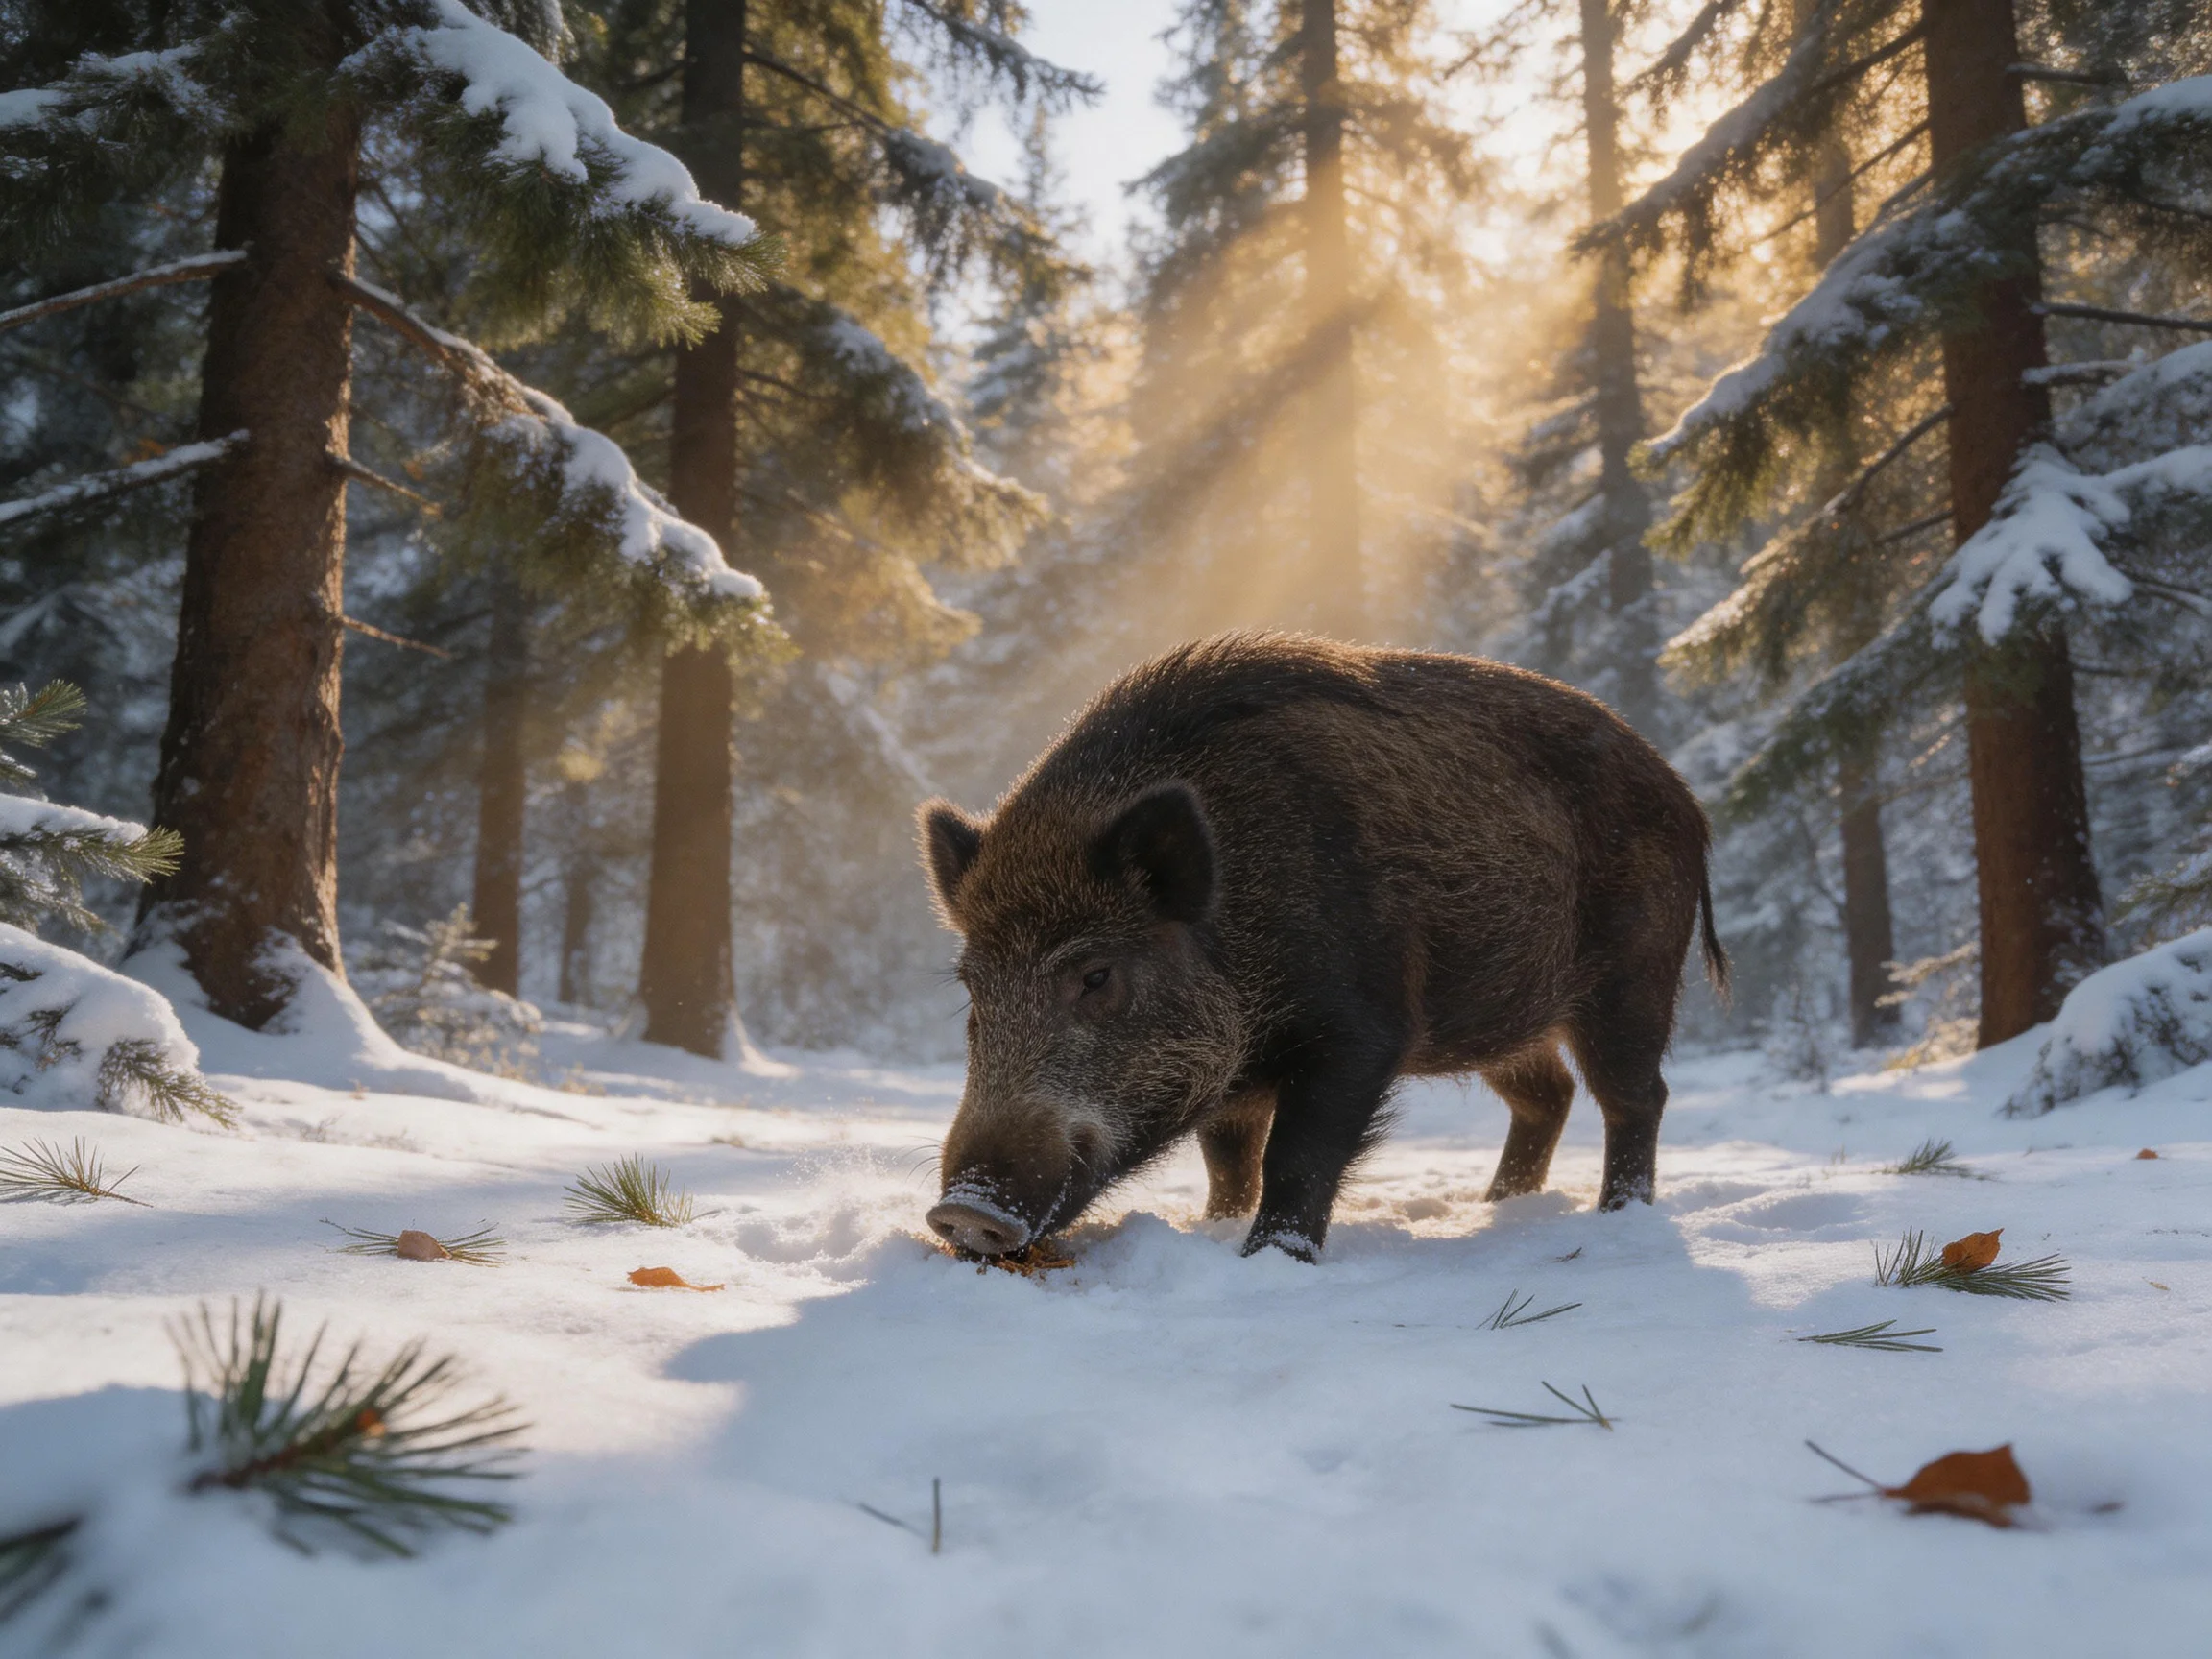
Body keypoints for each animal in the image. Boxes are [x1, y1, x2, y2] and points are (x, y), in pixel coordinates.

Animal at [917, 632, 1727, 1262]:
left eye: (1096, 975)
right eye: (972, 988)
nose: (964, 1211)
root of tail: (1688, 802)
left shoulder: (1362, 1027)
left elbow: (1297, 1158)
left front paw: (1270, 1260)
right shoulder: (1237, 1080)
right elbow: (1228, 1162)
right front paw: (1216, 1227)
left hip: (1636, 976)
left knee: (1634, 1096)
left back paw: (1618, 1216)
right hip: (1505, 1016)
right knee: (1548, 1096)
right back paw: (1498, 1209)